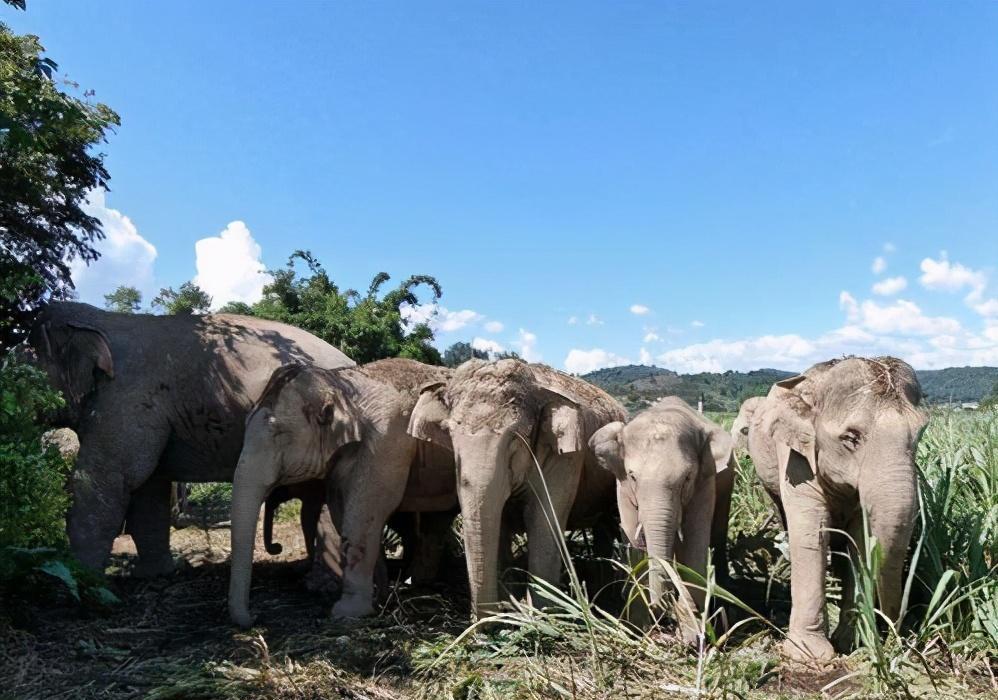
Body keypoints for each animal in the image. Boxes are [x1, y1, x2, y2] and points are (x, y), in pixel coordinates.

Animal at [23, 300, 356, 576]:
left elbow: (109, 479)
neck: (100, 320)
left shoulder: (127, 399)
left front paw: (77, 580)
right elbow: (149, 490)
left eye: (26, 365)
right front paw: (155, 575)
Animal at [227, 358, 454, 628]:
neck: (341, 384)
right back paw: (418, 582)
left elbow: (368, 511)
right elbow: (340, 510)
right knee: (438, 519)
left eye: (278, 434)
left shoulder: (387, 442)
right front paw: (379, 596)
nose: (255, 619)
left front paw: (348, 612)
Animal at [406, 360, 624, 616]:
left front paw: (541, 614)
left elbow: (542, 520)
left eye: (515, 437)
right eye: (449, 433)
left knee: (605, 528)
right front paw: (510, 606)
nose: (484, 620)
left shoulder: (566, 457)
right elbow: (500, 522)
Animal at [588, 396, 740, 644]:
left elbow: (694, 545)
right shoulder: (622, 488)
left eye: (687, 478)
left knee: (717, 533)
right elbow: (633, 544)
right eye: (633, 477)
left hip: (728, 483)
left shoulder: (704, 484)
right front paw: (637, 628)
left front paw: (691, 638)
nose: (664, 618)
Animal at [752, 358, 928, 660]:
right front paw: (809, 654)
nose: (896, 633)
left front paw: (852, 643)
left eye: (919, 435)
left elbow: (859, 540)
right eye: (850, 437)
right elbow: (811, 534)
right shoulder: (795, 457)